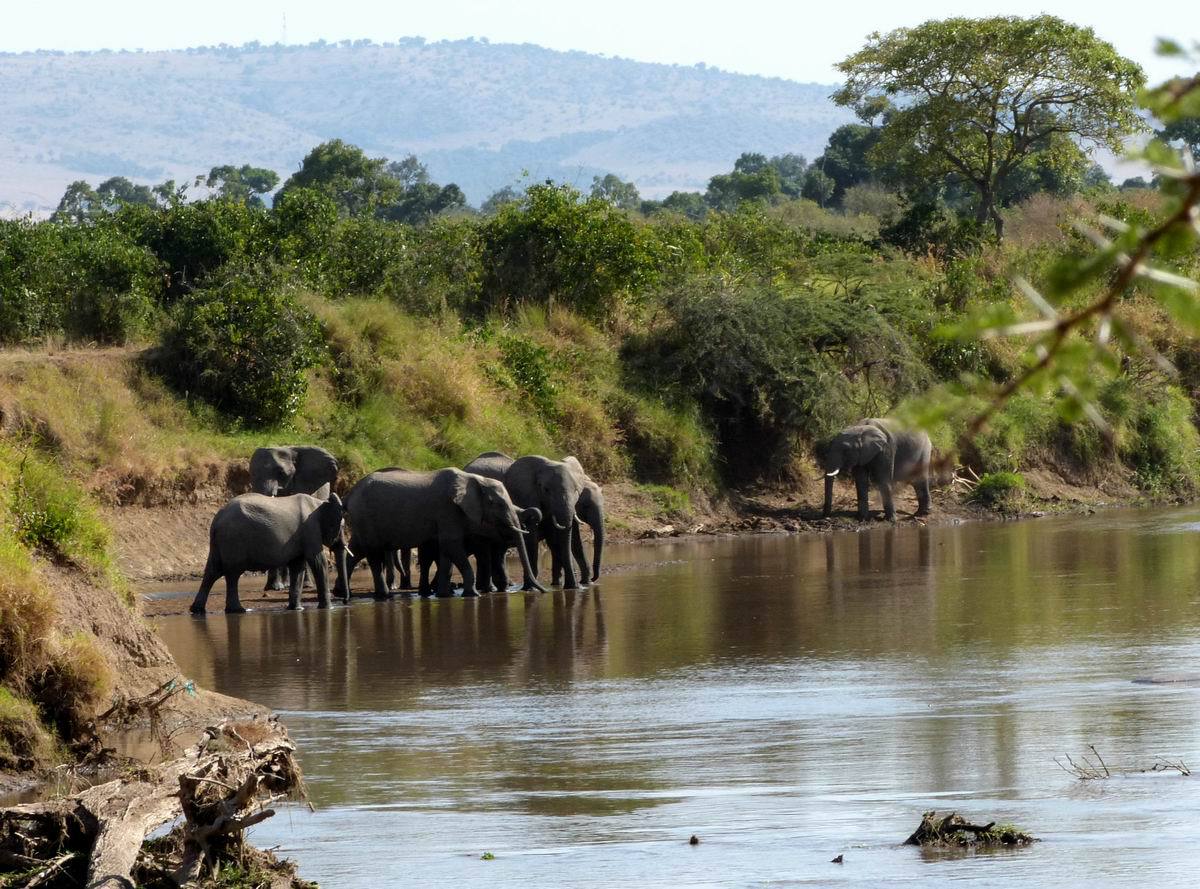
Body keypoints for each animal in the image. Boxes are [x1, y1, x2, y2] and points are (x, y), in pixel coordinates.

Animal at [189, 489, 345, 614]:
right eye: (343, 526)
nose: (345, 600)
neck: (320, 503)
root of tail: (217, 519)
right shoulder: (311, 529)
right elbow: (318, 562)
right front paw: (328, 609)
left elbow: (298, 566)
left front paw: (296, 609)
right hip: (233, 539)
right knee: (232, 573)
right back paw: (237, 610)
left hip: (220, 542)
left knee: (213, 571)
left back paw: (197, 610)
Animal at [336, 467, 547, 599]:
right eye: (498, 504)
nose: (544, 591)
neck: (474, 479)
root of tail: (349, 495)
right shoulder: (447, 509)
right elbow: (451, 544)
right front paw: (473, 594)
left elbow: (446, 551)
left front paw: (444, 595)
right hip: (365, 516)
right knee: (372, 553)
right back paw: (384, 595)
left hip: (361, 520)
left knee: (357, 549)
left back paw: (342, 593)